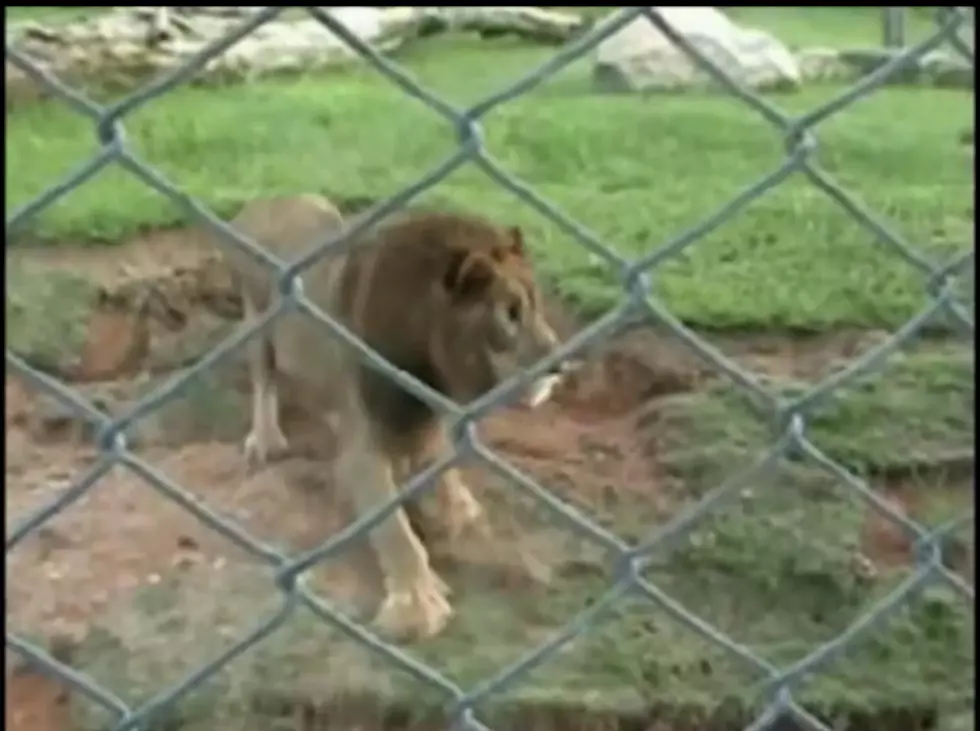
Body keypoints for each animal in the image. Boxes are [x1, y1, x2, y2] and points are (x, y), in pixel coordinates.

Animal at [218, 194, 564, 640]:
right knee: (264, 380)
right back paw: (266, 440)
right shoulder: (362, 447)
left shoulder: (433, 419)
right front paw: (416, 604)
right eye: (510, 314)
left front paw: (460, 512)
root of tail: (266, 201)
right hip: (257, 320)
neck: (429, 366)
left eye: (536, 305)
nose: (560, 366)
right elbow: (395, 530)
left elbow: (444, 467)